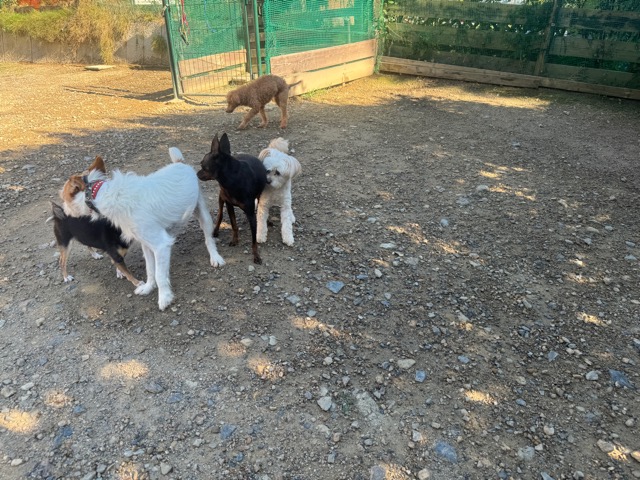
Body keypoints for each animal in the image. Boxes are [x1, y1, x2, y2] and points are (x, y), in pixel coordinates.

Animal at [60, 153, 225, 311]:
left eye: (64, 197)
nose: (63, 212)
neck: (105, 195)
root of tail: (180, 163)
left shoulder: (160, 245)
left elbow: (159, 275)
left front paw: (164, 298)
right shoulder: (147, 245)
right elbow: (150, 270)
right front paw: (148, 287)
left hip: (203, 215)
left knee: (209, 239)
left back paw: (215, 257)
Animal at [197, 133, 267, 264]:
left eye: (202, 165)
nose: (197, 174)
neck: (232, 180)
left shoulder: (251, 214)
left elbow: (254, 240)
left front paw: (256, 255)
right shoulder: (229, 205)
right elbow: (234, 225)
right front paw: (235, 240)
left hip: (259, 195)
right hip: (221, 198)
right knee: (220, 214)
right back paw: (215, 230)